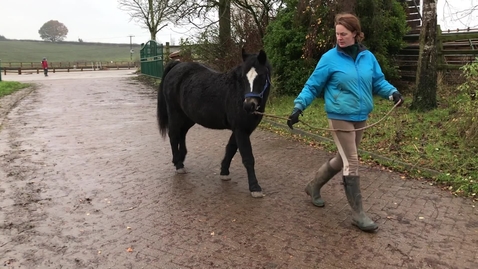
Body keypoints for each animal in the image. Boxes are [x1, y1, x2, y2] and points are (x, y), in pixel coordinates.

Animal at [159, 49, 272, 197]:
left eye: (262, 76)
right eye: (243, 77)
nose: (249, 105)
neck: (237, 91)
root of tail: (177, 66)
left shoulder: (243, 130)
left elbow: (231, 148)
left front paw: (224, 172)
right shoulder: (240, 129)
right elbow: (247, 157)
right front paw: (255, 188)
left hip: (188, 117)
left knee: (182, 134)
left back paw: (181, 159)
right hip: (175, 113)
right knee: (173, 135)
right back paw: (178, 165)